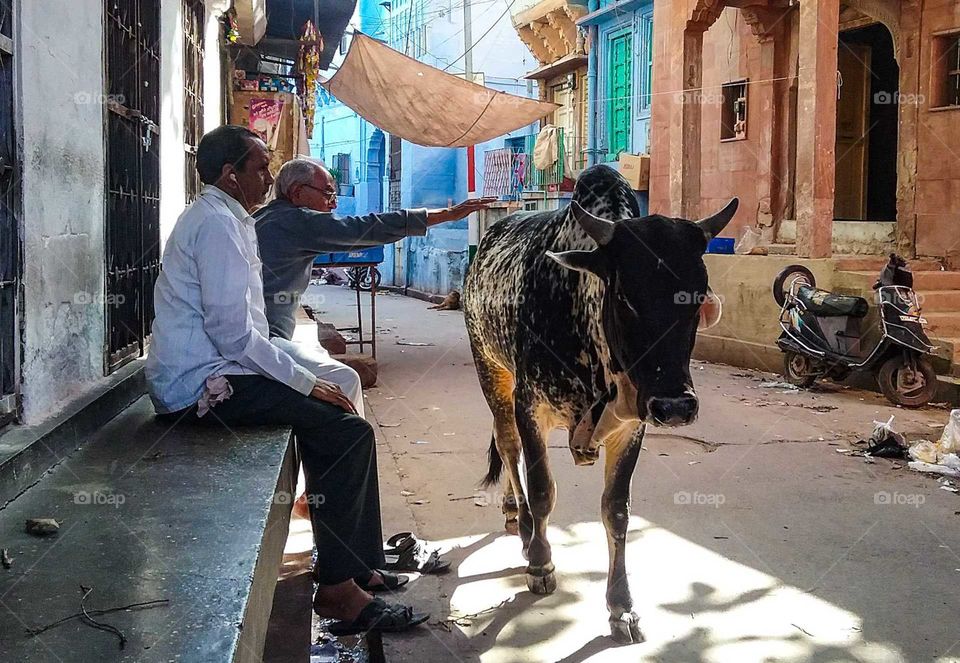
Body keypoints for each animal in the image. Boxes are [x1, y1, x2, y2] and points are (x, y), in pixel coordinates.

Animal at [462, 164, 736, 643]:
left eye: (698, 295)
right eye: (625, 295)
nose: (676, 406)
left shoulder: (633, 425)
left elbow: (616, 510)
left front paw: (621, 606)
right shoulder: (530, 406)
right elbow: (543, 490)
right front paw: (541, 564)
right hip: (492, 372)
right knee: (508, 447)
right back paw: (522, 521)